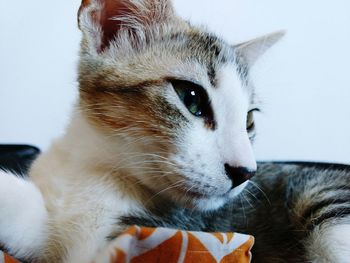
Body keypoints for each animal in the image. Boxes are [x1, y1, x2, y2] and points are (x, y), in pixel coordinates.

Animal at [0, 0, 348, 262]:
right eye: (191, 97)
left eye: (248, 121)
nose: (245, 171)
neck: (89, 164)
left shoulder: (154, 232)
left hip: (326, 199)